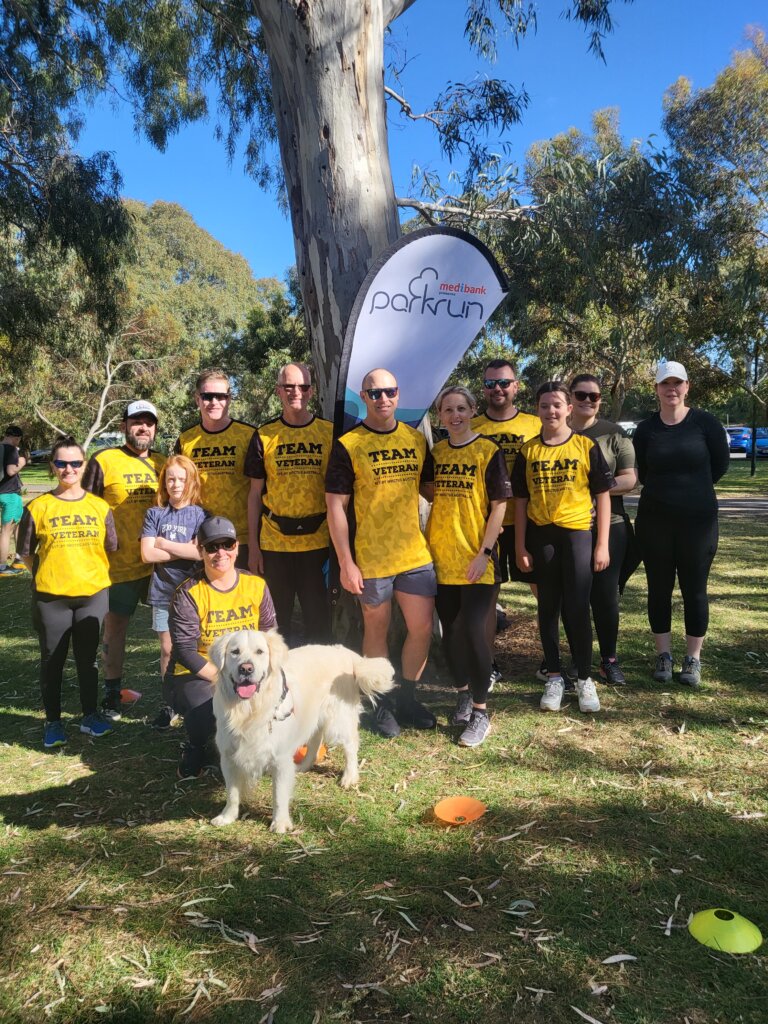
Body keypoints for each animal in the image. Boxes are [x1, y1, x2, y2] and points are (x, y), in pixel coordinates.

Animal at [208, 630, 393, 831]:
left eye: (259, 652)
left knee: (350, 746)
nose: (246, 669)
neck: (249, 711)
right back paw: (304, 765)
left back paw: (349, 777)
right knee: (315, 740)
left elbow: (279, 795)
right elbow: (232, 793)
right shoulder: (228, 756)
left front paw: (280, 823)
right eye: (234, 652)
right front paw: (227, 817)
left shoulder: (280, 759)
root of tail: (343, 651)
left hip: (338, 719)